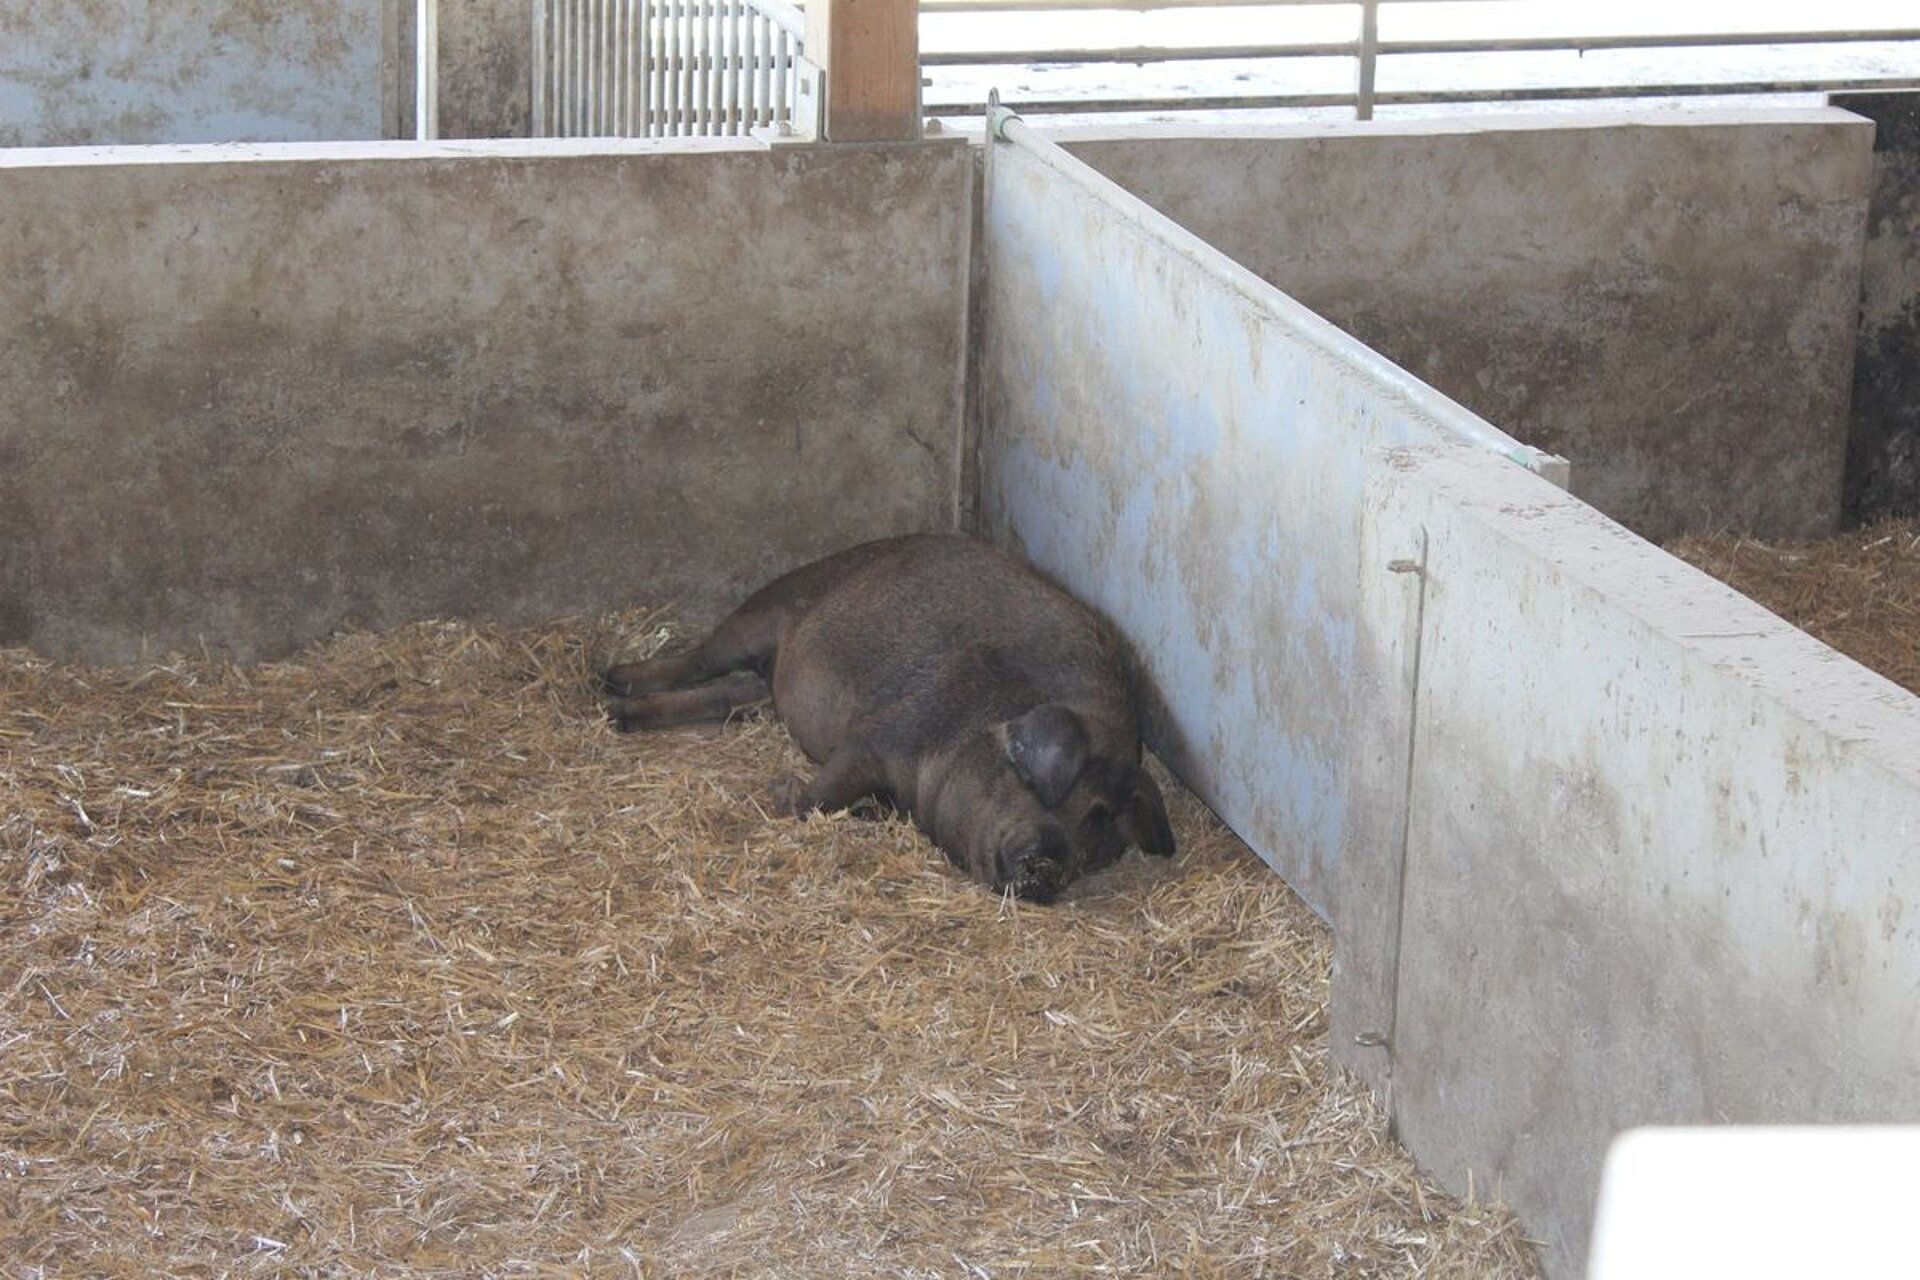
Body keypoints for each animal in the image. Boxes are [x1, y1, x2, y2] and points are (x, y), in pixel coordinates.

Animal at [600, 534, 1175, 903]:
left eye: (1098, 832)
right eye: (1076, 798)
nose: (1050, 866)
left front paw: (861, 811)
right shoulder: (881, 733)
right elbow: (820, 796)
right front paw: (781, 791)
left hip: (764, 684)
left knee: (728, 694)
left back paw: (619, 713)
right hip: (767, 607)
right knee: (698, 659)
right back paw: (611, 683)